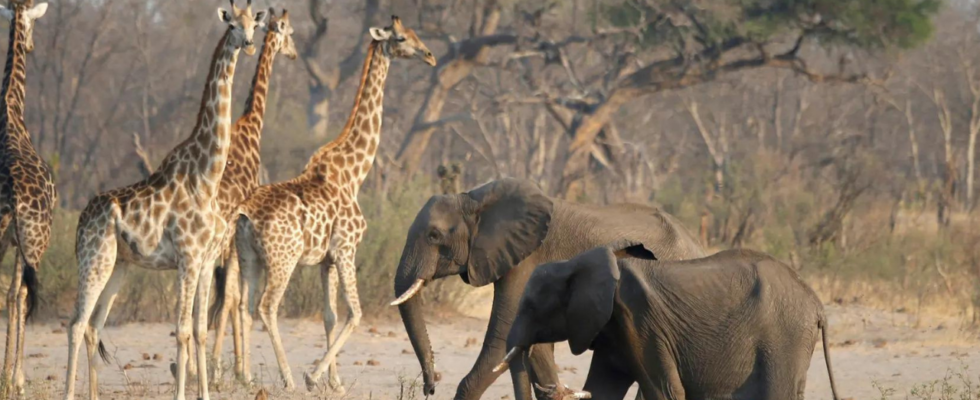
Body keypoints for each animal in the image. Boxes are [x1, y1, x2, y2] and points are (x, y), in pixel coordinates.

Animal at [63, 1, 266, 398]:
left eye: (254, 24)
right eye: (232, 25)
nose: (248, 44)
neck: (206, 176)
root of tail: (81, 221)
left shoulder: (204, 261)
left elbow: (200, 330)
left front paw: (204, 392)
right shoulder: (186, 258)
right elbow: (182, 330)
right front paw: (183, 393)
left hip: (118, 265)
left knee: (94, 325)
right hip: (94, 260)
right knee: (76, 324)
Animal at [235, 15, 434, 390]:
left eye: (417, 33)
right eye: (401, 38)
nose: (430, 56)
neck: (354, 173)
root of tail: (246, 215)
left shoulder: (325, 259)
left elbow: (330, 315)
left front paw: (335, 382)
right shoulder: (346, 248)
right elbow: (355, 313)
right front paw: (313, 376)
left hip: (248, 258)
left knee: (244, 305)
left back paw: (248, 378)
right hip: (282, 260)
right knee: (268, 307)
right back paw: (287, 378)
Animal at [388, 179, 704, 400]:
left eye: (434, 235)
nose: (430, 386)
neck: (476, 199)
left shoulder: (527, 259)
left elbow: (502, 337)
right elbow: (533, 345)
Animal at [498, 241, 844, 400]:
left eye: (531, 306)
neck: (577, 263)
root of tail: (817, 304)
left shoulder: (640, 321)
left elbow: (665, 391)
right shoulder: (613, 329)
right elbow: (602, 388)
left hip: (785, 336)